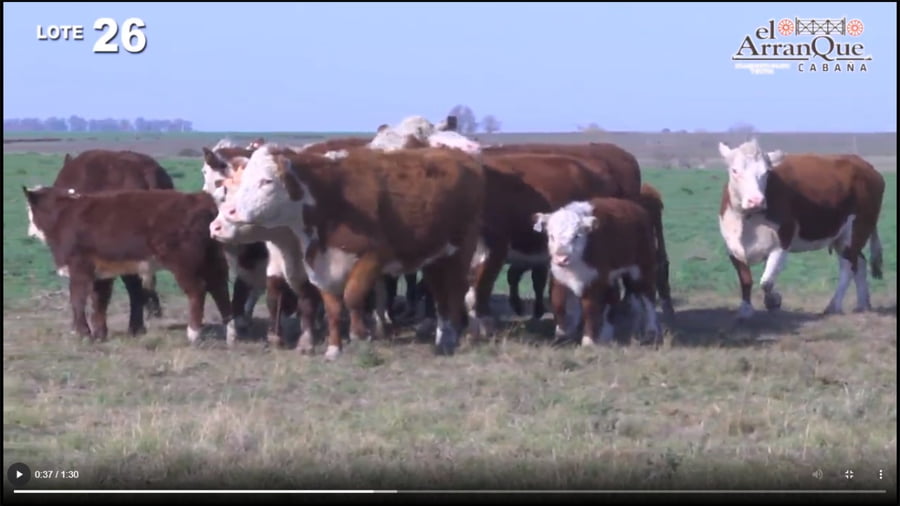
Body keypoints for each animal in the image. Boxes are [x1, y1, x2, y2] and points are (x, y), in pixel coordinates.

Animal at [23, 186, 234, 343]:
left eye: (29, 210)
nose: (29, 232)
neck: (64, 215)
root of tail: (199, 198)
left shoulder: (79, 268)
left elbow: (78, 299)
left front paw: (82, 333)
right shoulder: (102, 273)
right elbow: (99, 301)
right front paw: (99, 334)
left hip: (185, 264)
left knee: (198, 290)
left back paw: (193, 334)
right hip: (213, 259)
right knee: (220, 288)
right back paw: (231, 333)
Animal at [216, 144, 486, 359]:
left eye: (266, 181)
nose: (228, 215)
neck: (330, 200)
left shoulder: (374, 256)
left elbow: (353, 295)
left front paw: (359, 334)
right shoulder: (320, 266)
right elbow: (333, 309)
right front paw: (333, 349)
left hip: (462, 249)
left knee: (456, 291)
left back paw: (450, 339)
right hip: (435, 256)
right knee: (440, 295)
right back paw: (442, 337)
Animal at [532, 198, 661, 347]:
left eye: (576, 236)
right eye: (551, 236)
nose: (561, 258)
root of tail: (635, 208)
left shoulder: (593, 281)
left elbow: (590, 309)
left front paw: (588, 341)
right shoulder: (559, 279)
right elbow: (559, 305)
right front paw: (562, 335)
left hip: (642, 269)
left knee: (648, 297)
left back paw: (651, 331)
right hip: (611, 277)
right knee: (613, 298)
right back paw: (606, 334)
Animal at [717, 139, 885, 318]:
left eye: (766, 172)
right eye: (735, 170)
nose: (756, 200)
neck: (748, 221)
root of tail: (865, 165)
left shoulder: (782, 242)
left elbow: (767, 282)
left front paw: (773, 301)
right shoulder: (733, 247)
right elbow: (746, 280)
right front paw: (745, 309)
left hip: (857, 230)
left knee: (848, 267)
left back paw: (834, 306)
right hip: (842, 236)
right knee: (859, 263)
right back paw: (862, 305)